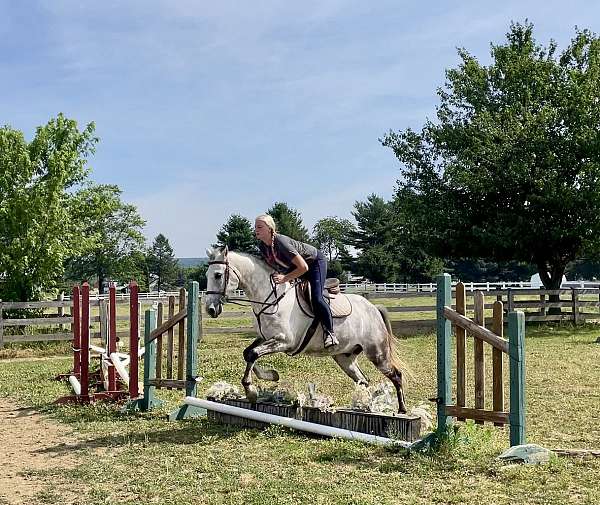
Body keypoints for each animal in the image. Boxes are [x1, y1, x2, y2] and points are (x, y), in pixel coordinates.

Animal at [205, 246, 408, 412]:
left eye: (217, 275)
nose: (210, 309)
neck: (271, 298)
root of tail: (373, 308)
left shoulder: (284, 341)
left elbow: (253, 354)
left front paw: (251, 391)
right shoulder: (265, 337)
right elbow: (248, 353)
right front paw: (270, 376)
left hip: (377, 352)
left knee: (396, 375)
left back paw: (402, 410)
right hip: (345, 357)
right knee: (363, 381)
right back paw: (365, 405)